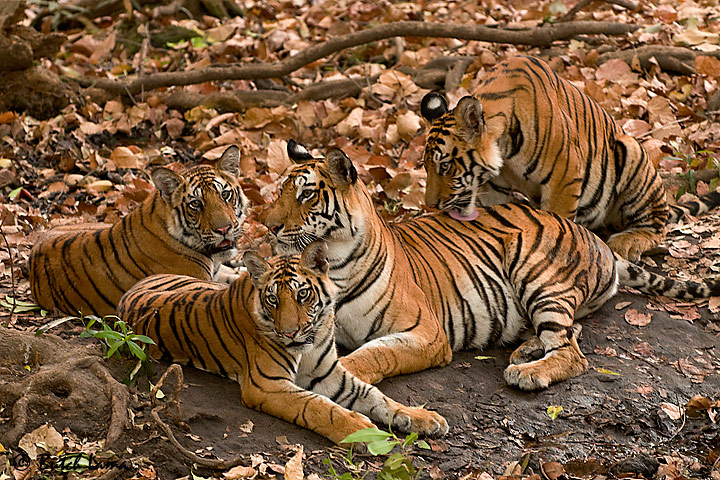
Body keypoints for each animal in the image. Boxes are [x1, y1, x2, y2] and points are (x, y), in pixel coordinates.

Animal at [115, 241, 448, 444]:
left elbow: (374, 396)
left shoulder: (329, 373)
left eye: (303, 294)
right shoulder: (267, 385)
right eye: (273, 299)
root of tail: (136, 285)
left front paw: (421, 418)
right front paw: (361, 431)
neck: (310, 342)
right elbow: (319, 407)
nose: (289, 333)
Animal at [264, 143, 720, 390]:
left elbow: (372, 356)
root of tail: (600, 242)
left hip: (537, 274)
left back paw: (528, 372)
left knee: (573, 353)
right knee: (571, 331)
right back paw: (527, 349)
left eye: (305, 195)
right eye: (278, 192)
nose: (268, 225)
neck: (332, 261)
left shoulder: (426, 333)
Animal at [419, 55, 720, 261]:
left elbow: (555, 223)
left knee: (656, 226)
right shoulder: (494, 187)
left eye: (445, 166)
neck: (503, 148)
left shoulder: (564, 177)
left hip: (632, 152)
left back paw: (628, 242)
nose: (431, 205)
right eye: (426, 167)